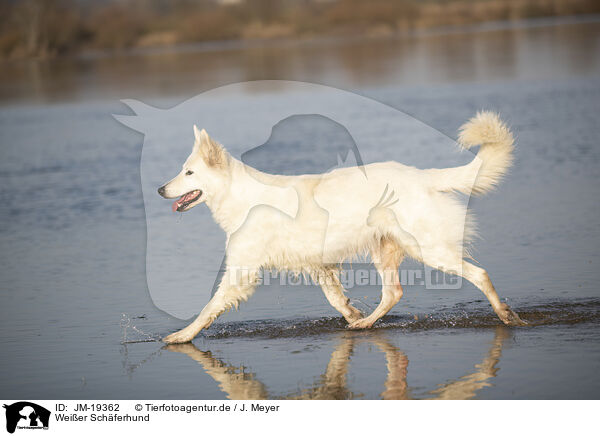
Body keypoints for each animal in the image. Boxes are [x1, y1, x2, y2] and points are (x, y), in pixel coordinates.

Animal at [158, 112, 524, 344]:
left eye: (189, 173)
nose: (160, 189)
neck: (241, 196)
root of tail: (423, 176)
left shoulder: (241, 272)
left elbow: (209, 308)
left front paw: (183, 336)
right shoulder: (318, 264)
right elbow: (336, 300)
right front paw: (351, 312)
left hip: (431, 250)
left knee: (480, 274)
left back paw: (507, 316)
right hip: (386, 251)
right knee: (393, 293)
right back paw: (364, 323)